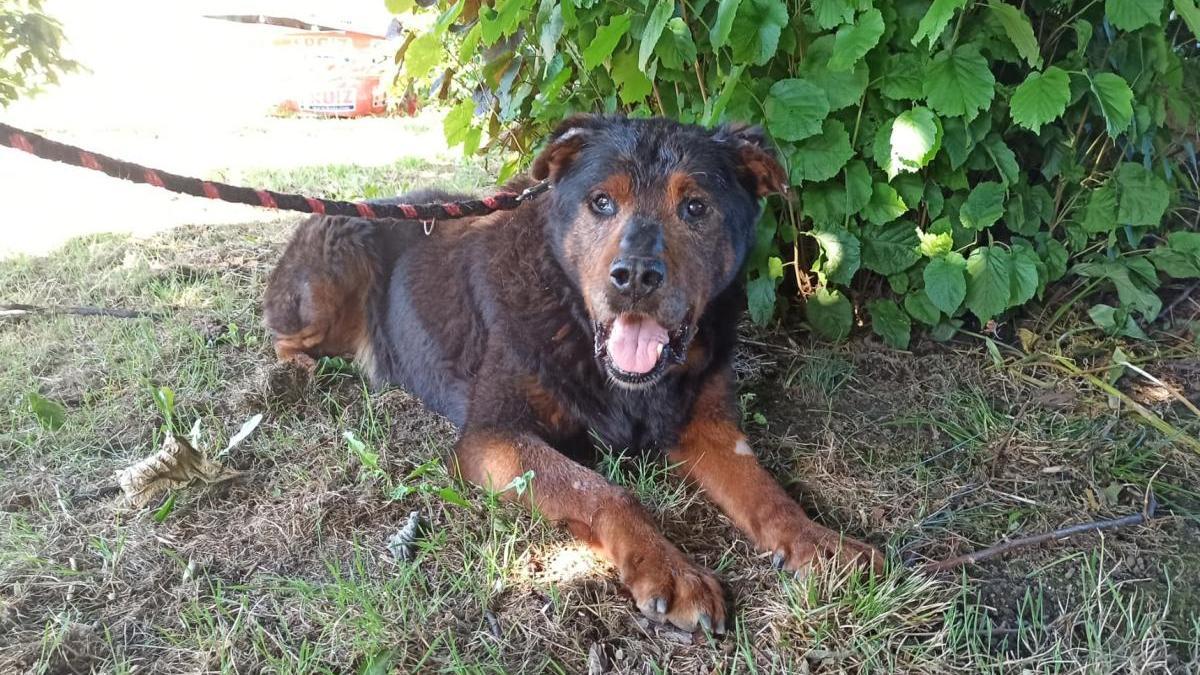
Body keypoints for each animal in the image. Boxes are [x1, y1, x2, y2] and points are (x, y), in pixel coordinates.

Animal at [262, 115, 883, 629]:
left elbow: (764, 491)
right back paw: (293, 376)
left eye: (695, 207)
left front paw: (820, 542)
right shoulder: (492, 437)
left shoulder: (707, 425)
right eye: (602, 202)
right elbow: (605, 491)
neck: (578, 322)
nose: (635, 276)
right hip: (343, 254)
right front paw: (670, 568)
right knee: (284, 334)